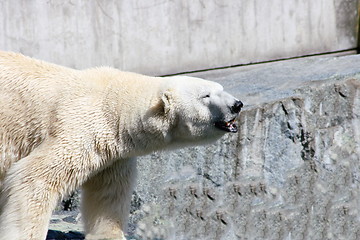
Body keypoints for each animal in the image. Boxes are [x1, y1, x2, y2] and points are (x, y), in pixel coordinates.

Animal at [0, 51, 243, 239]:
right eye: (206, 96)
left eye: (221, 88)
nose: (237, 104)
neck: (113, 107)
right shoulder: (78, 128)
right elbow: (34, 178)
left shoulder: (112, 153)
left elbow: (108, 193)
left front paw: (110, 234)